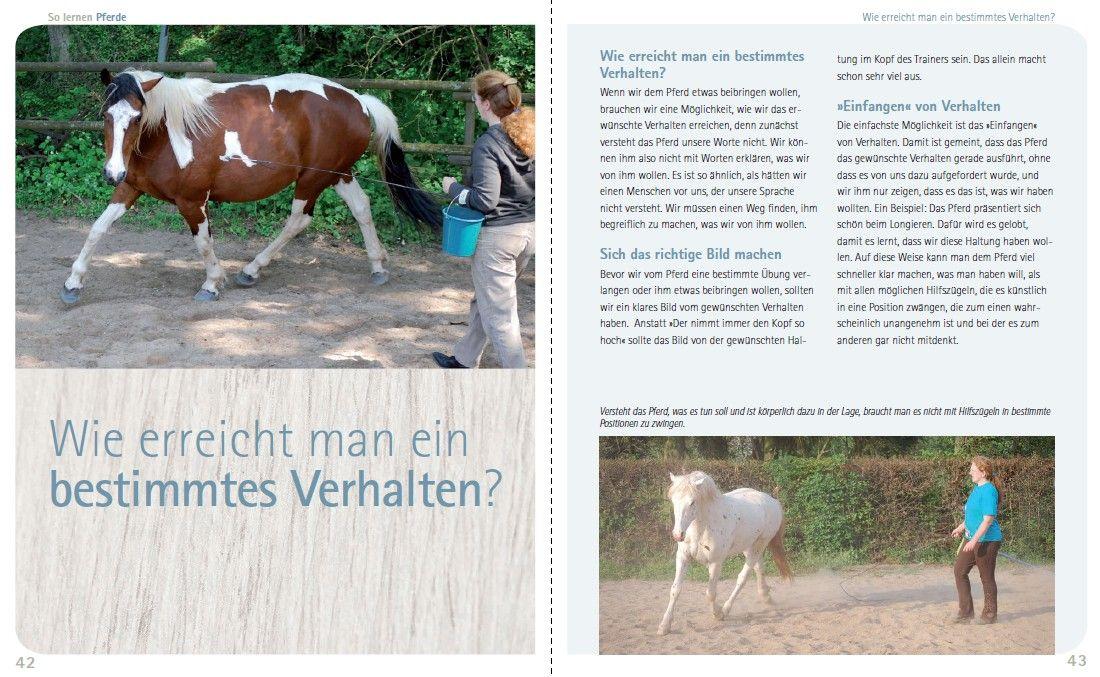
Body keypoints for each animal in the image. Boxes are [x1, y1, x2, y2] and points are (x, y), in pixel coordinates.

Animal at [60, 68, 441, 304]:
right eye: (107, 115)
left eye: (137, 117)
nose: (112, 173)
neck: (167, 133)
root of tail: (359, 100)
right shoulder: (129, 190)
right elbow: (97, 229)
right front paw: (73, 284)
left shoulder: (192, 200)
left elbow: (203, 243)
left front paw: (212, 284)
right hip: (338, 173)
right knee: (361, 207)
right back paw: (377, 265)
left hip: (312, 179)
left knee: (298, 220)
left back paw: (252, 269)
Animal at [658, 471, 792, 636]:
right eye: (673, 500)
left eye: (692, 502)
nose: (678, 535)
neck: (702, 528)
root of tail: (773, 501)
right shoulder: (683, 558)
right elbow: (675, 590)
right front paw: (664, 626)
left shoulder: (715, 562)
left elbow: (710, 593)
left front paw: (717, 614)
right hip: (749, 546)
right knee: (759, 568)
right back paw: (766, 597)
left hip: (759, 545)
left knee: (743, 577)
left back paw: (726, 609)